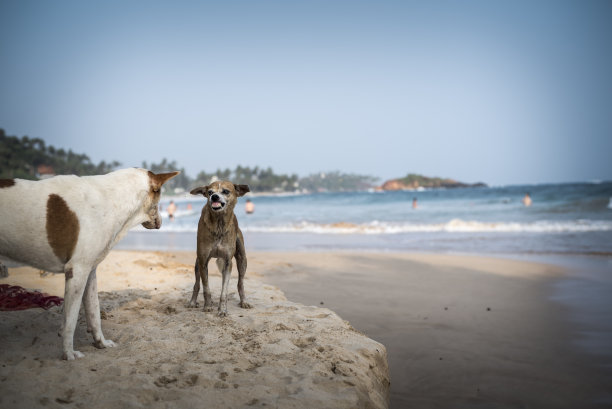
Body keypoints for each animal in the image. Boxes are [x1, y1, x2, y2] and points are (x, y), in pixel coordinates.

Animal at [0, 167, 178, 358]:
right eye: (159, 196)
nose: (162, 222)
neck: (112, 198)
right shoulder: (77, 272)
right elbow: (70, 321)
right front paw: (68, 353)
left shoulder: (90, 271)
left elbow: (94, 312)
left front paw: (101, 343)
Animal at [188, 179, 252, 316]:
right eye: (210, 192)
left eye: (225, 191)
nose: (214, 197)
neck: (219, 224)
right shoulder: (203, 261)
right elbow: (206, 288)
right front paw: (207, 306)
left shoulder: (228, 262)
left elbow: (224, 291)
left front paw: (222, 309)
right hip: (197, 263)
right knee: (197, 284)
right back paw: (192, 302)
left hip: (242, 259)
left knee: (240, 283)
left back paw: (244, 301)